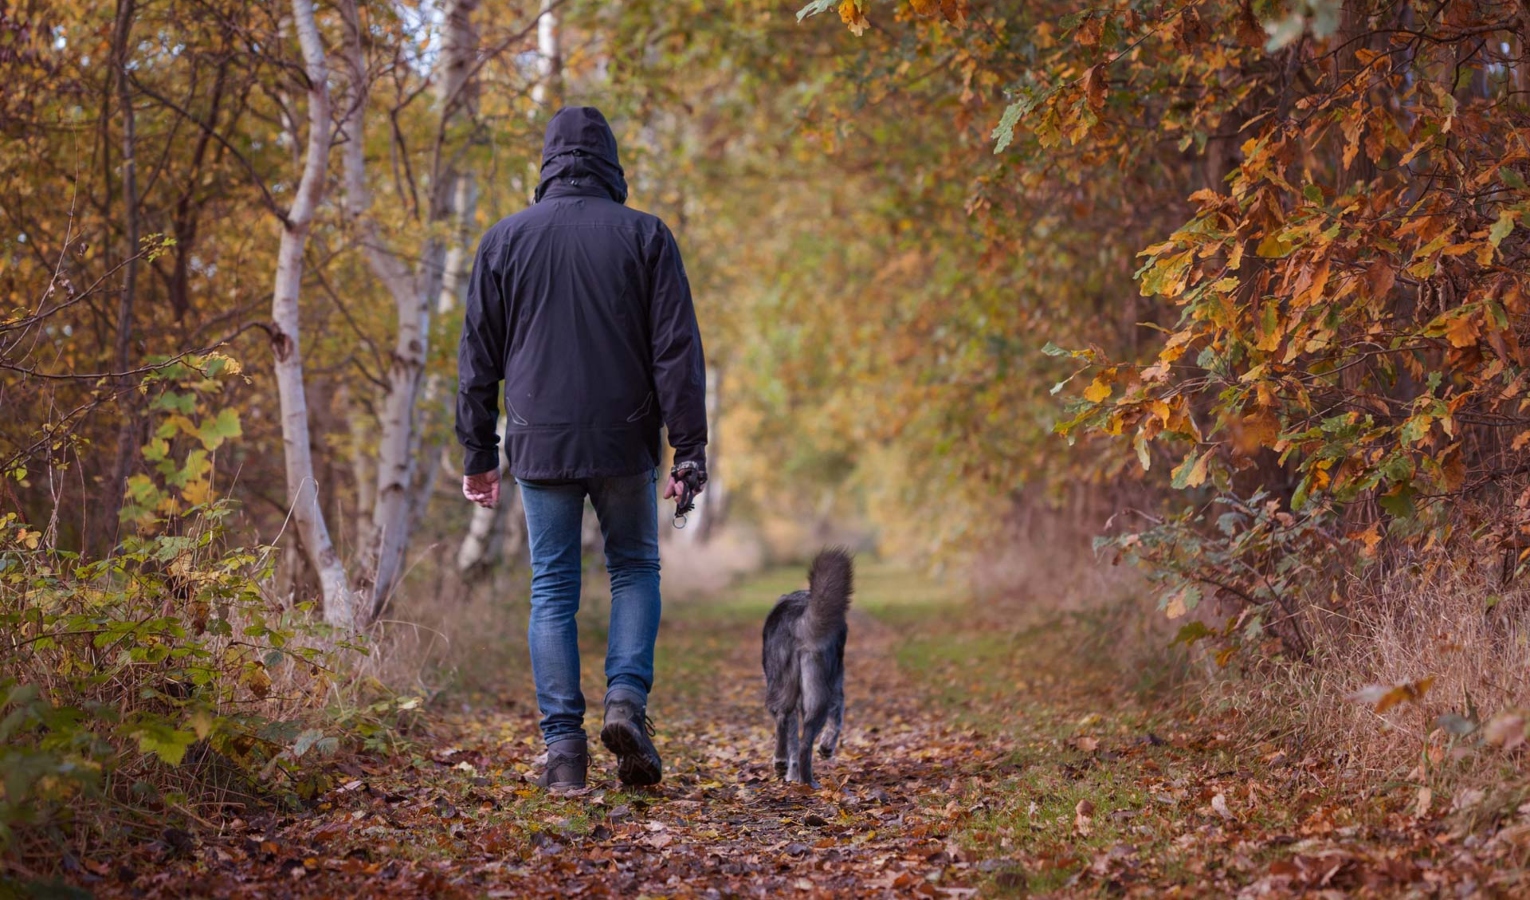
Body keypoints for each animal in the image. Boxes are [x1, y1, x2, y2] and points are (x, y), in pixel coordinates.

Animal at [761, 544, 856, 783]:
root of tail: (799, 617)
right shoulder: (837, 686)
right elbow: (838, 717)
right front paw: (827, 748)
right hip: (817, 691)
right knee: (804, 742)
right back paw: (807, 780)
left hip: (785, 686)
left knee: (785, 722)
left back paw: (786, 767)